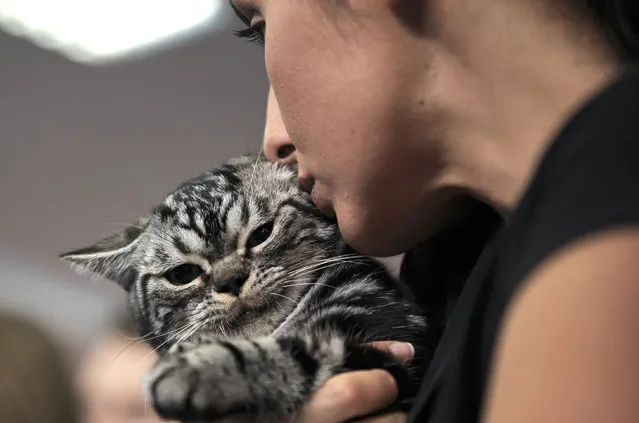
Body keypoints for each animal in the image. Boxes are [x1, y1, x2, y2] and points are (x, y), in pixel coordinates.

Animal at [61, 156, 430, 423]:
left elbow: (298, 352)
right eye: (183, 274)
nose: (231, 280)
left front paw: (196, 369)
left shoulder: (392, 346)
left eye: (261, 234)